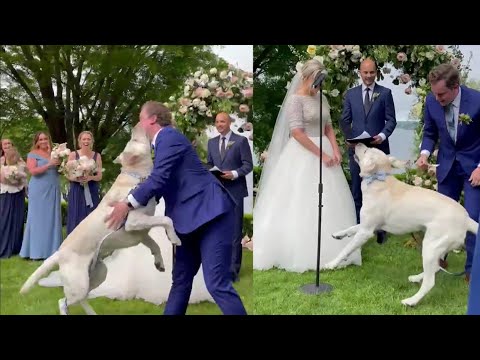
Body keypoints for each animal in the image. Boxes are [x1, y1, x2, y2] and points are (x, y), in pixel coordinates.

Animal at [19, 124, 182, 316]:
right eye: (134, 139)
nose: (136, 125)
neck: (135, 175)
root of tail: (59, 252)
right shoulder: (134, 222)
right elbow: (166, 219)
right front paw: (175, 238)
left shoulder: (141, 233)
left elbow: (155, 244)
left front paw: (160, 262)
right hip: (80, 283)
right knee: (64, 301)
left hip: (98, 273)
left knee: (81, 299)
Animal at [324, 143, 478, 306]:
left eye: (365, 150)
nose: (358, 143)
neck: (379, 180)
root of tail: (466, 218)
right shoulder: (370, 225)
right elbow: (352, 228)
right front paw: (338, 234)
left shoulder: (366, 231)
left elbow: (346, 249)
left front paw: (331, 264)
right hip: (436, 246)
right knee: (435, 268)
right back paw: (417, 278)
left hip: (430, 246)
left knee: (430, 282)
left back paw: (411, 301)